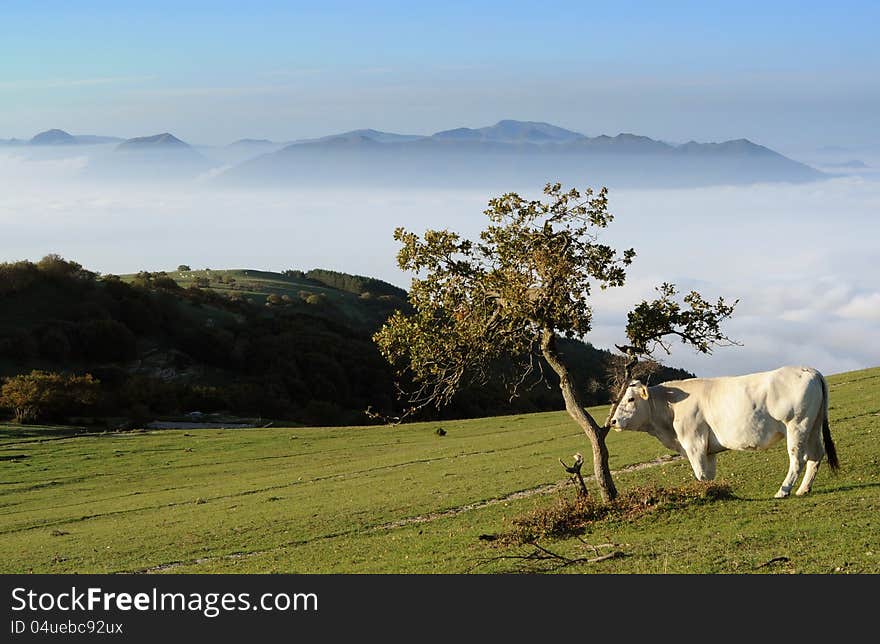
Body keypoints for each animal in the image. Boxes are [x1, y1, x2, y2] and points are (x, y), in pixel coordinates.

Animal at [608, 364, 836, 496]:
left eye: (630, 399)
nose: (613, 421)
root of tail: (809, 370)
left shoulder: (694, 442)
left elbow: (700, 474)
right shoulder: (708, 449)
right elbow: (708, 475)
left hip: (797, 425)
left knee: (798, 459)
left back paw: (784, 490)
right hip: (813, 425)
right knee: (816, 455)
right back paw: (803, 489)